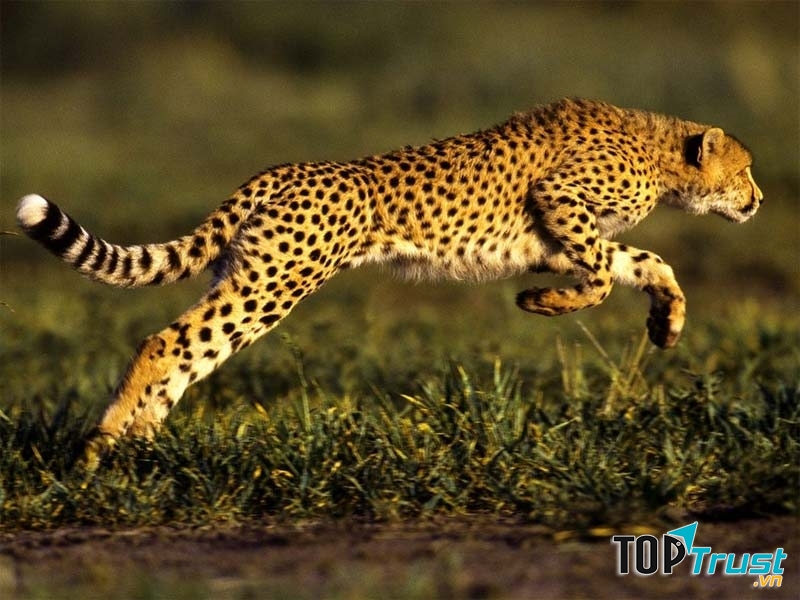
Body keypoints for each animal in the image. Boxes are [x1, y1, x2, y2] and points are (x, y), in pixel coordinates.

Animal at [16, 98, 763, 465]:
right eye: (747, 170)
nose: (757, 201)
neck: (658, 153)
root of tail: (285, 169)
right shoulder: (558, 203)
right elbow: (604, 274)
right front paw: (541, 303)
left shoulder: (552, 239)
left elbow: (643, 263)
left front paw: (667, 322)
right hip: (274, 283)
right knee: (168, 342)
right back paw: (100, 449)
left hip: (250, 274)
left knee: (187, 350)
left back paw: (137, 445)